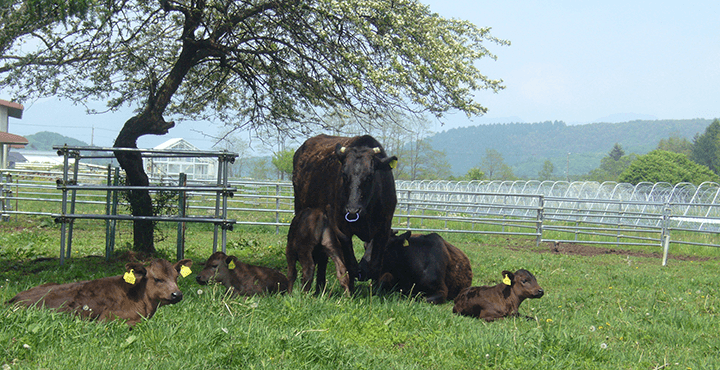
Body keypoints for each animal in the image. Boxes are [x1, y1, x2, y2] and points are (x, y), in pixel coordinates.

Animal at [294, 135, 400, 284]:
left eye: (370, 175)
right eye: (344, 174)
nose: (353, 210)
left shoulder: (384, 229)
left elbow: (376, 265)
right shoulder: (342, 230)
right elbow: (351, 266)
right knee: (322, 258)